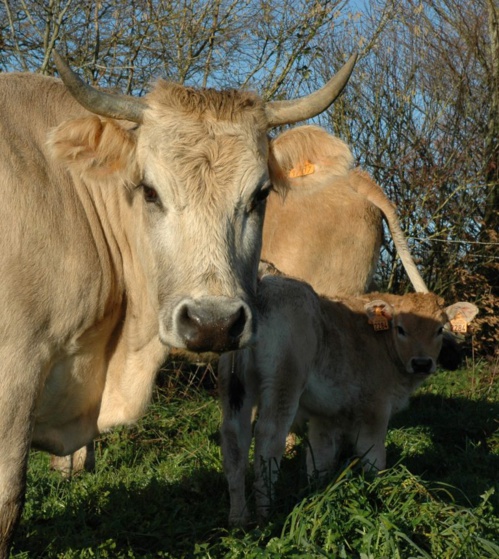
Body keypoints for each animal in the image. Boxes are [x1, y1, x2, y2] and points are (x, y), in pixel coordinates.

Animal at [219, 274, 476, 528]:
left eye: (440, 329)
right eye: (401, 329)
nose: (422, 363)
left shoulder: (326, 415)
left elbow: (320, 457)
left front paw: (319, 493)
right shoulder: (375, 409)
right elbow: (373, 457)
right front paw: (378, 489)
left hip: (236, 391)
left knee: (234, 439)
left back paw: (238, 518)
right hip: (284, 382)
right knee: (268, 438)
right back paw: (266, 513)